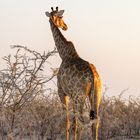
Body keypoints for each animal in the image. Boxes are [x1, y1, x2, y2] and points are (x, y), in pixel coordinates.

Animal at [46, 6, 101, 140]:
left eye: (61, 16)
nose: (65, 26)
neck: (64, 54)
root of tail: (93, 76)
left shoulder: (62, 92)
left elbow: (67, 121)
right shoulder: (71, 95)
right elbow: (74, 123)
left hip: (78, 97)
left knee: (82, 121)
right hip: (96, 95)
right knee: (94, 121)